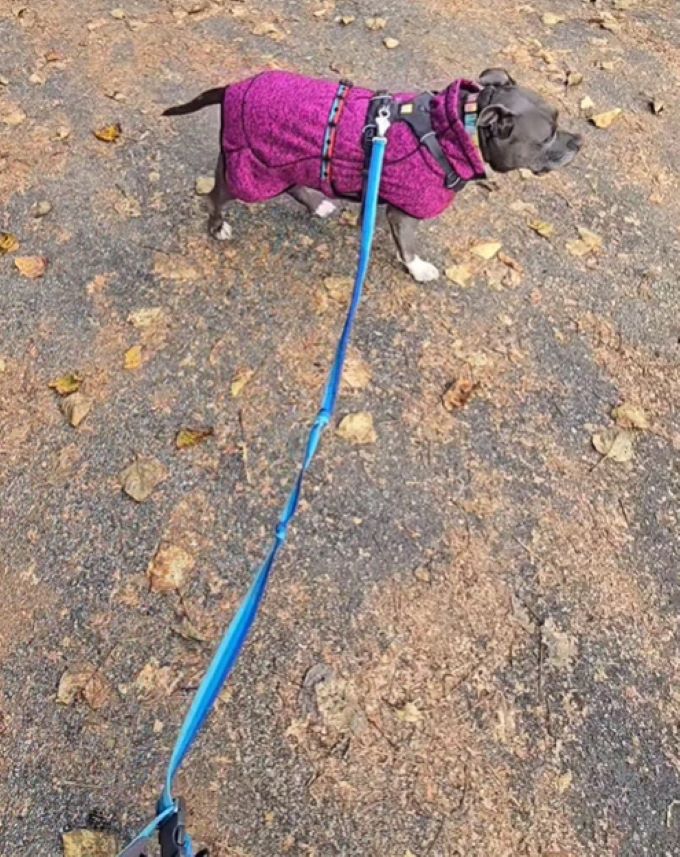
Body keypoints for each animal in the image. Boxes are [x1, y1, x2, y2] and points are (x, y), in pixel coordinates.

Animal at [163, 67, 580, 280]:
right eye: (547, 137)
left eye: (558, 119)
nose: (579, 141)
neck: (459, 127)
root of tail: (232, 87)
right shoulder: (405, 210)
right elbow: (408, 246)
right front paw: (419, 269)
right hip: (248, 171)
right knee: (215, 196)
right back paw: (217, 225)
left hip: (283, 160)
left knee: (295, 185)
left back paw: (317, 204)